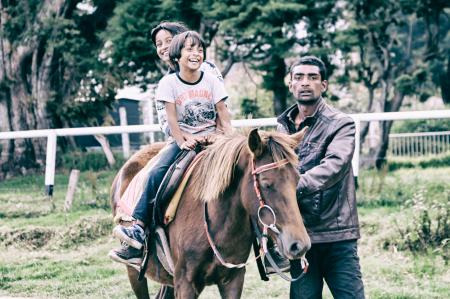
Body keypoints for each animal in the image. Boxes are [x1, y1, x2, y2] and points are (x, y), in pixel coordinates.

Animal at [110, 130, 312, 299]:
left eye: (297, 180)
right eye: (266, 183)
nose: (299, 245)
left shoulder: (233, 280)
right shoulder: (185, 284)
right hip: (134, 273)